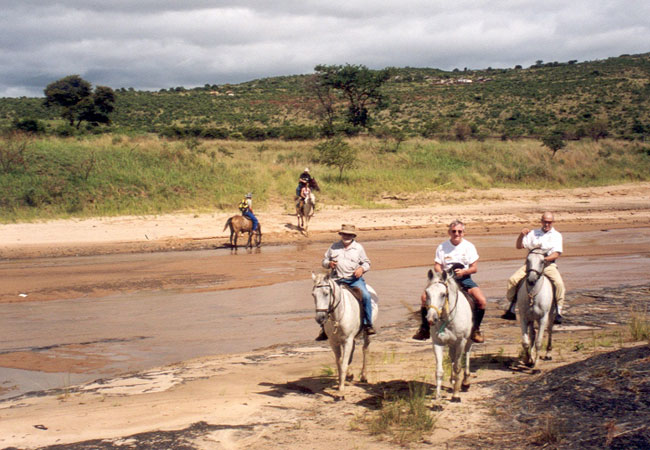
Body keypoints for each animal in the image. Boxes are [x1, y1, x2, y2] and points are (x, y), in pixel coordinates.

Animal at [312, 270, 378, 398]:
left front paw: (341, 391)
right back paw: (350, 374)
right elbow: (340, 363)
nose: (319, 318)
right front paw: (341, 382)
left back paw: (364, 376)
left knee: (365, 349)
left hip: (365, 335)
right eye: (313, 295)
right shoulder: (334, 342)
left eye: (326, 294)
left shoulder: (347, 340)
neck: (338, 315)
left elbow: (343, 365)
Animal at [420, 268, 470, 402]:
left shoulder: (460, 342)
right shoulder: (437, 343)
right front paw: (437, 400)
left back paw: (465, 382)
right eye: (427, 293)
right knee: (452, 357)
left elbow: (457, 367)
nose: (431, 318)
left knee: (467, 354)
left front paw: (456, 395)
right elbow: (439, 371)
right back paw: (452, 380)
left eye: (443, 294)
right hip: (451, 344)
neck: (448, 319)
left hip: (468, 340)